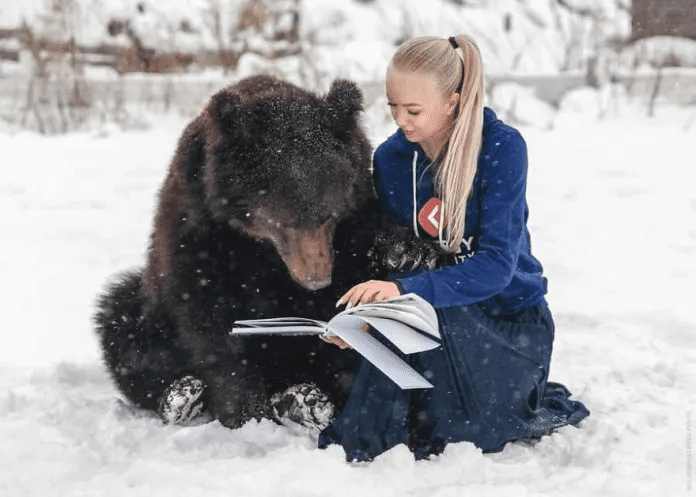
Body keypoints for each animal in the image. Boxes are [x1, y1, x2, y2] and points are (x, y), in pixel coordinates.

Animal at [94, 74, 386, 430]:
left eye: (330, 215)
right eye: (284, 221)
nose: (316, 279)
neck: (257, 245)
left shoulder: (354, 221)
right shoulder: (200, 232)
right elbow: (212, 323)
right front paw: (249, 414)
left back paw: (305, 400)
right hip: (150, 314)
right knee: (123, 324)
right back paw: (182, 397)